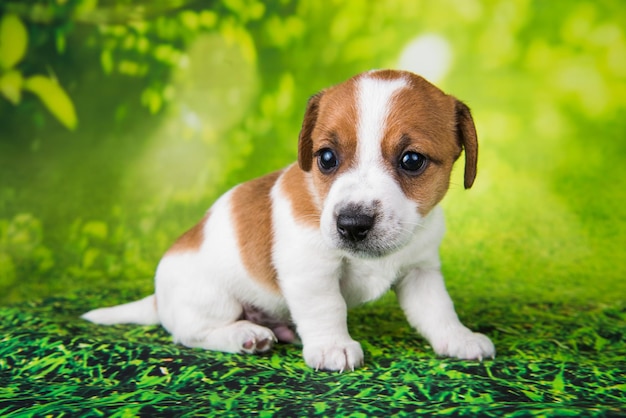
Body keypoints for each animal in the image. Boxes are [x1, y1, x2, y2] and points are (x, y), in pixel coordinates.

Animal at [81, 69, 492, 372]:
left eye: (412, 160)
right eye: (326, 158)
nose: (352, 224)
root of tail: (158, 298)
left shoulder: (420, 272)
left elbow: (438, 310)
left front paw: (458, 337)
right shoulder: (311, 271)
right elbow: (327, 308)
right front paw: (332, 346)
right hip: (213, 300)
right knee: (191, 333)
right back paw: (244, 335)